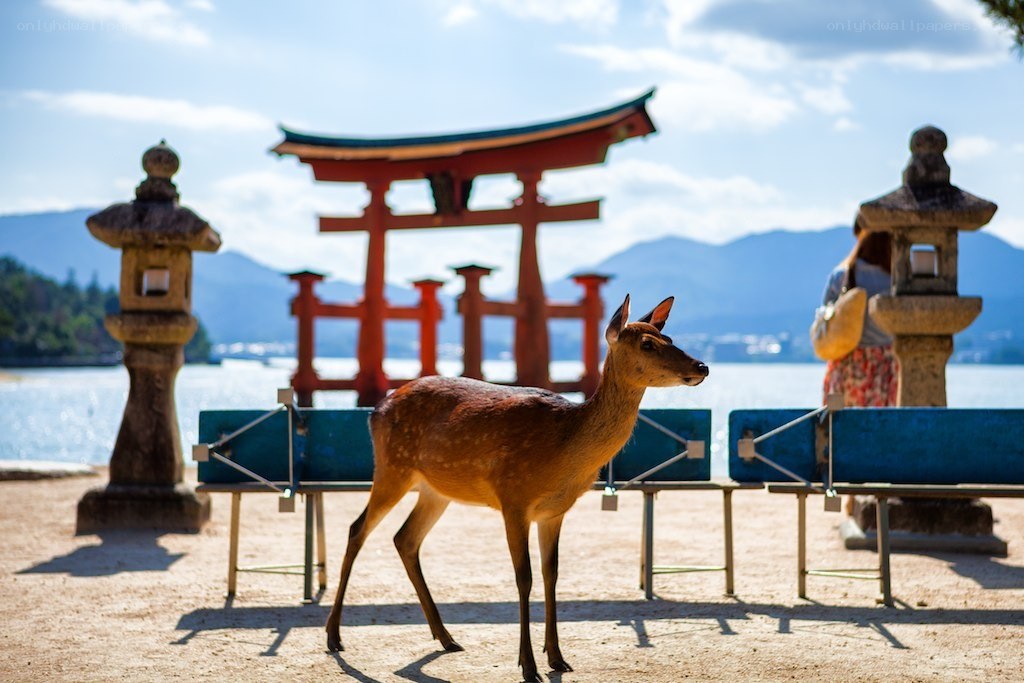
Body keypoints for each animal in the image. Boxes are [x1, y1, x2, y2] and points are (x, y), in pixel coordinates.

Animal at [325, 294, 708, 681]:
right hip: (392, 467)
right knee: (358, 529)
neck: (564, 450)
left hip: (435, 490)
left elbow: (552, 574)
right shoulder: (513, 498)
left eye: (669, 338)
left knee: (404, 538)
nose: (703, 366)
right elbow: (524, 577)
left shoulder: (554, 511)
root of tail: (375, 410)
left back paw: (446, 636)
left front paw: (557, 657)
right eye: (647, 344)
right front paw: (528, 665)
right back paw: (334, 636)